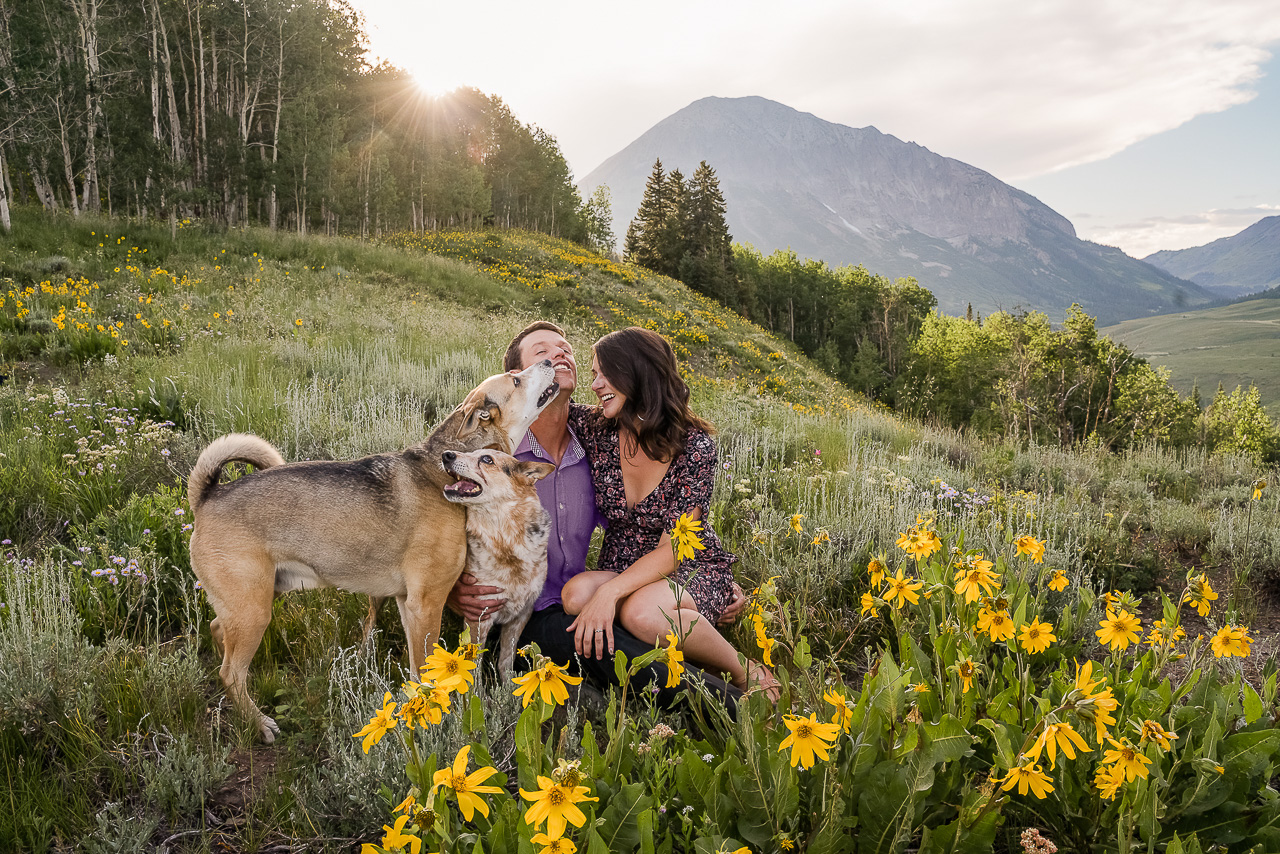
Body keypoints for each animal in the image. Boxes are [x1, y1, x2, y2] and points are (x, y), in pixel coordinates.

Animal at [440, 448, 555, 676]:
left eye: (487, 459)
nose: (446, 455)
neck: (505, 541)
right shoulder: (479, 617)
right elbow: (474, 669)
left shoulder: (521, 614)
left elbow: (506, 662)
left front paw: (509, 686)